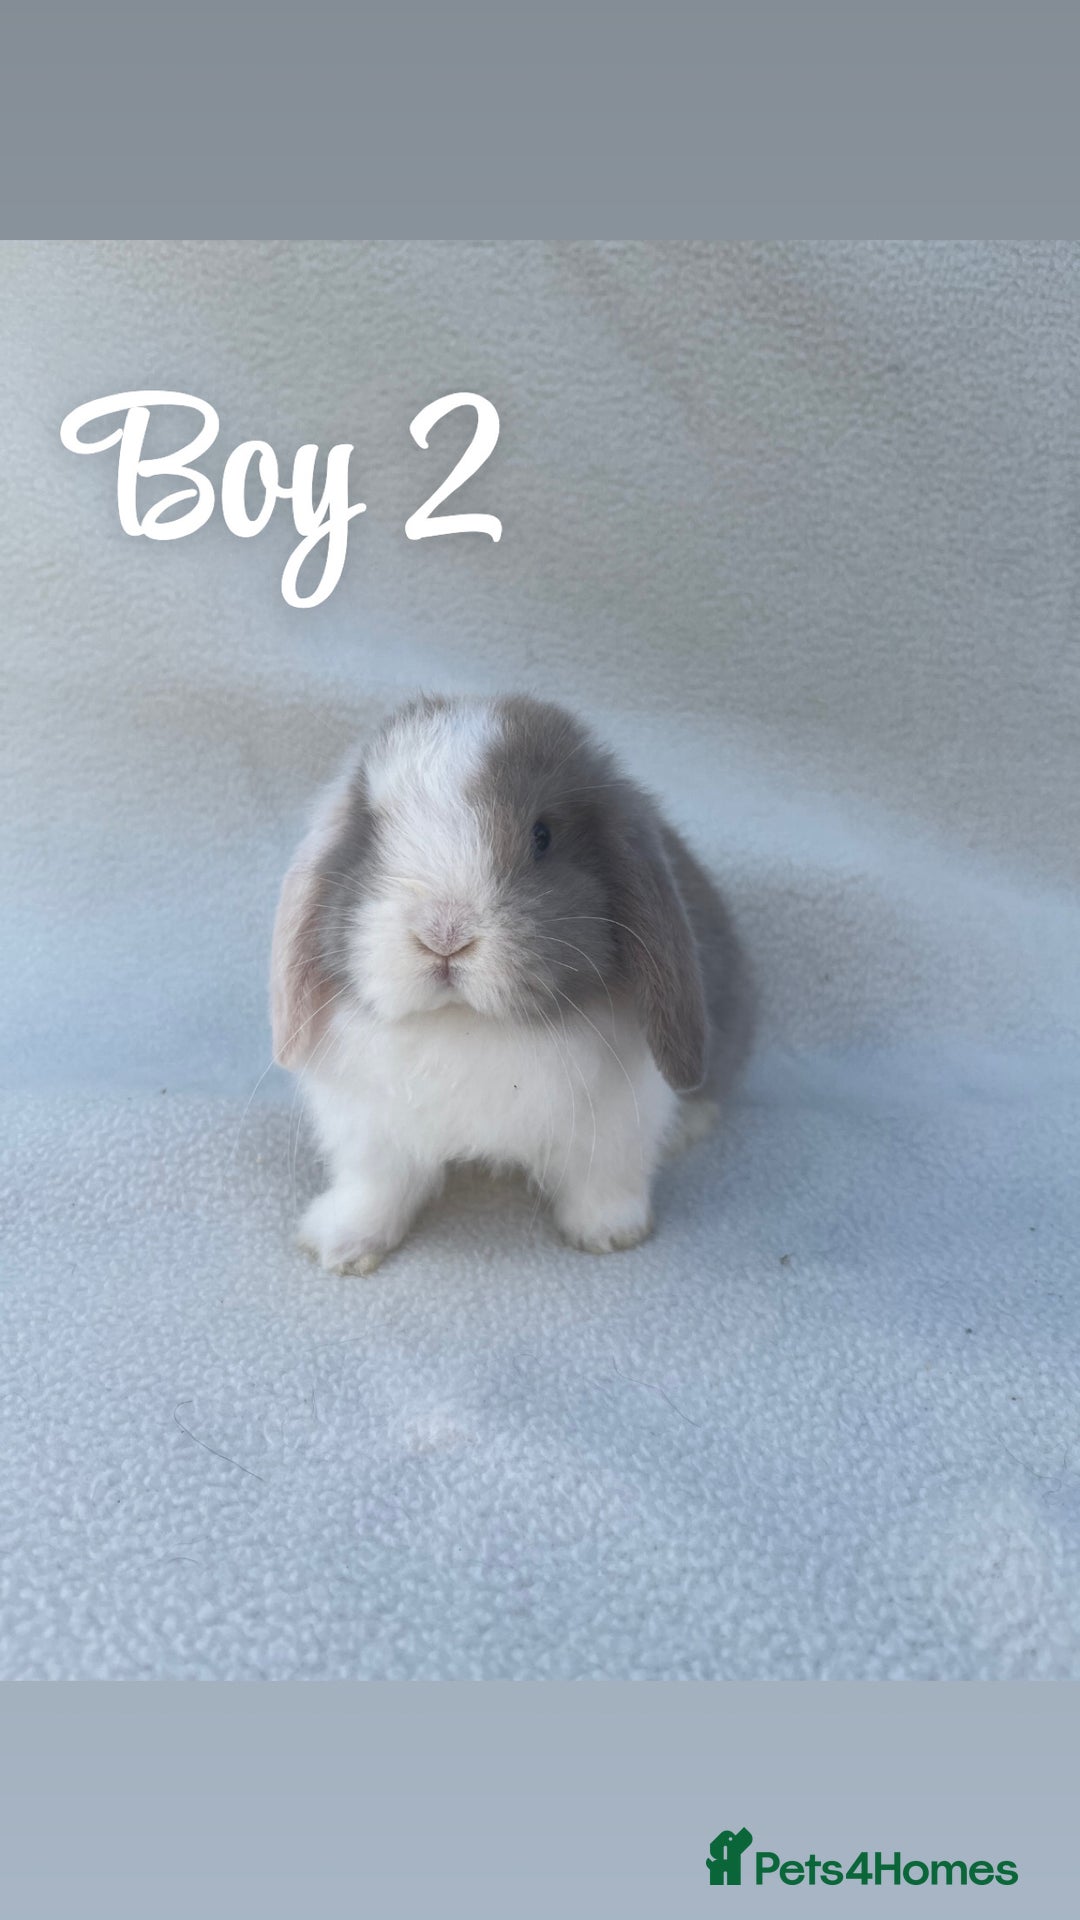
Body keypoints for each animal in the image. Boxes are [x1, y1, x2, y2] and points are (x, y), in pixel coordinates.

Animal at [270, 692, 754, 1274]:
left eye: (542, 836)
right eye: (371, 835)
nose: (443, 934)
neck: (468, 1025)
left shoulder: (618, 1117)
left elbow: (604, 1178)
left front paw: (610, 1234)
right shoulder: (369, 1128)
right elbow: (375, 1186)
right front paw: (341, 1246)